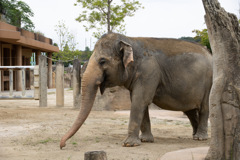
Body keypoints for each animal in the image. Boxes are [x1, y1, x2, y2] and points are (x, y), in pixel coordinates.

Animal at [59, 32, 212, 149]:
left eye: (102, 61)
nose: (63, 145)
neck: (129, 39)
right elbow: (138, 101)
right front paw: (145, 140)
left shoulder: (149, 72)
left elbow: (140, 100)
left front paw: (129, 144)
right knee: (190, 111)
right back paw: (194, 135)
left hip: (209, 82)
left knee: (204, 107)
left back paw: (201, 138)